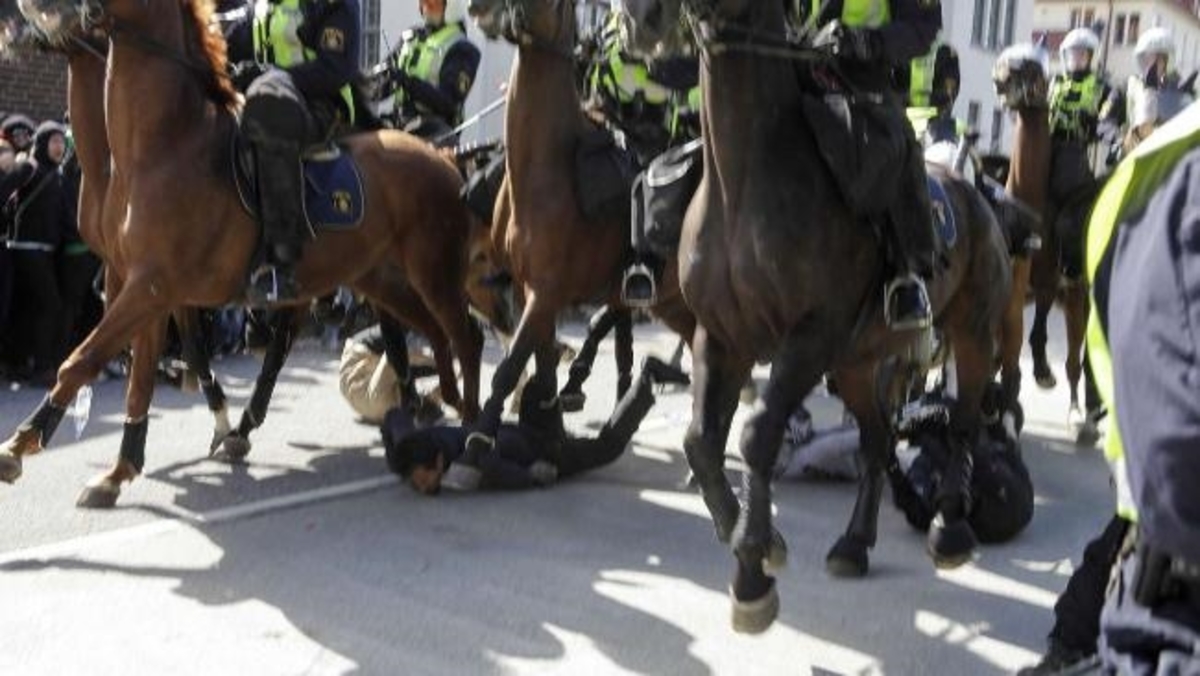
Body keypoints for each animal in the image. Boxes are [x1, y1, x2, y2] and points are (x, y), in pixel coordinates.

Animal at [3, 0, 487, 501]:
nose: (17, 17)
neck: (161, 146)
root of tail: (444, 159)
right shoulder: (137, 284)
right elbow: (138, 374)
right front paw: (118, 468)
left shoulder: (151, 285)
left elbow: (82, 359)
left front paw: (21, 445)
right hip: (383, 279)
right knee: (430, 333)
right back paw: (438, 402)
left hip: (433, 271)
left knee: (465, 336)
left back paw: (469, 435)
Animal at [444, 0, 700, 492]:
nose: (483, 12)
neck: (547, 166)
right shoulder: (527, 289)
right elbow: (542, 367)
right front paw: (548, 447)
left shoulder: (546, 292)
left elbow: (510, 367)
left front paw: (472, 453)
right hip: (672, 303)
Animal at [628, 0, 1012, 633]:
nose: (642, 18)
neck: (746, 182)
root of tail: (974, 188)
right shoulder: (721, 338)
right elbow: (701, 443)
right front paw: (746, 533)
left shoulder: (811, 335)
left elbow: (757, 434)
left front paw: (753, 570)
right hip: (856, 364)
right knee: (878, 441)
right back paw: (854, 545)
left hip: (972, 332)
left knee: (962, 422)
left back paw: (949, 528)